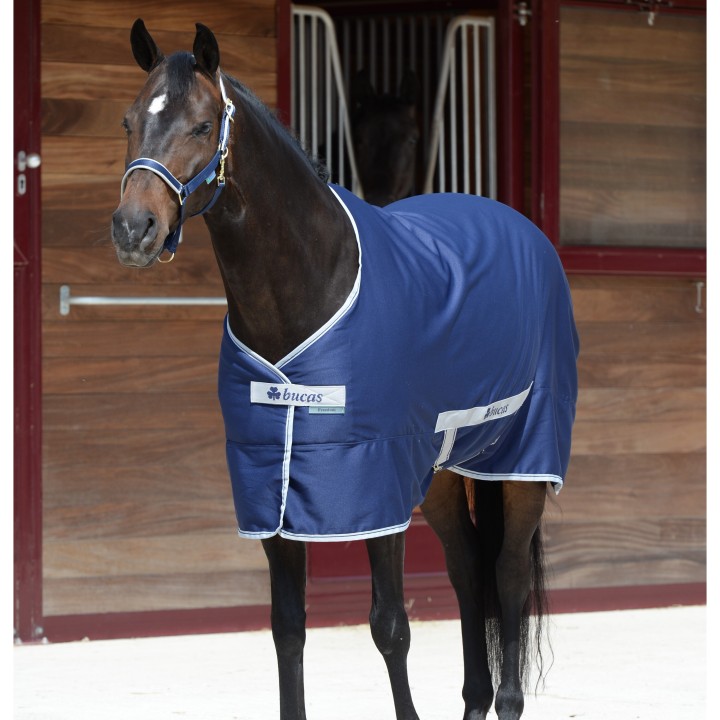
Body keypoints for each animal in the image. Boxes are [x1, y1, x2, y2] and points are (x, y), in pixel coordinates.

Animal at [111, 20, 579, 720]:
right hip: (441, 471)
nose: (133, 228)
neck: (311, 286)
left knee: (508, 574)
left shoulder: (375, 482)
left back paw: (508, 699)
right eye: (129, 121)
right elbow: (288, 630)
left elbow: (390, 625)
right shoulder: (270, 488)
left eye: (201, 125)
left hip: (522, 460)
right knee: (469, 570)